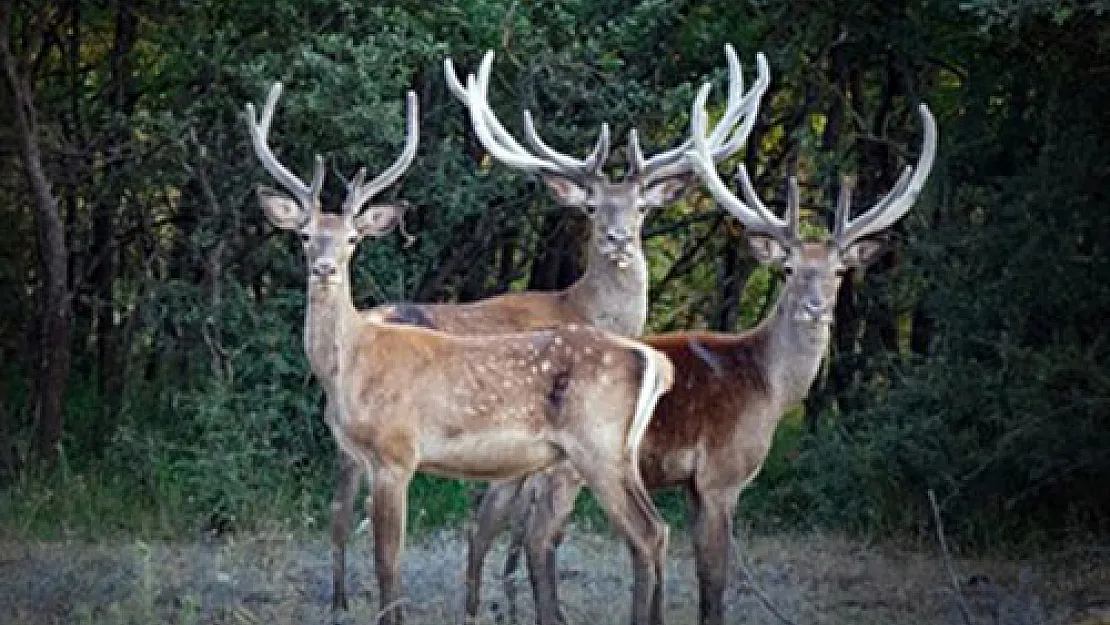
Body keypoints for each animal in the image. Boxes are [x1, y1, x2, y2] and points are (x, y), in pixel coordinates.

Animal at [245, 82, 674, 625]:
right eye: (303, 235)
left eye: (352, 238)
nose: (325, 268)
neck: (354, 365)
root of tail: (653, 360)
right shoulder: (364, 454)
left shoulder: (397, 451)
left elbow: (388, 562)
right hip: (618, 452)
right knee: (655, 530)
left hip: (596, 445)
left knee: (644, 532)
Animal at [301, 47, 772, 617]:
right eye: (591, 206)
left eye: (642, 207)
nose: (618, 239)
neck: (582, 306)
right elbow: (518, 531)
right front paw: (510, 604)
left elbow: (508, 529)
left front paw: (500, 603)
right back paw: (342, 599)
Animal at [466, 79, 936, 625]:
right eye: (790, 268)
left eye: (839, 271)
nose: (815, 308)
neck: (766, 386)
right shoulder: (720, 476)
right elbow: (713, 581)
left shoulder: (691, 485)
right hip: (572, 465)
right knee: (539, 537)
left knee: (495, 526)